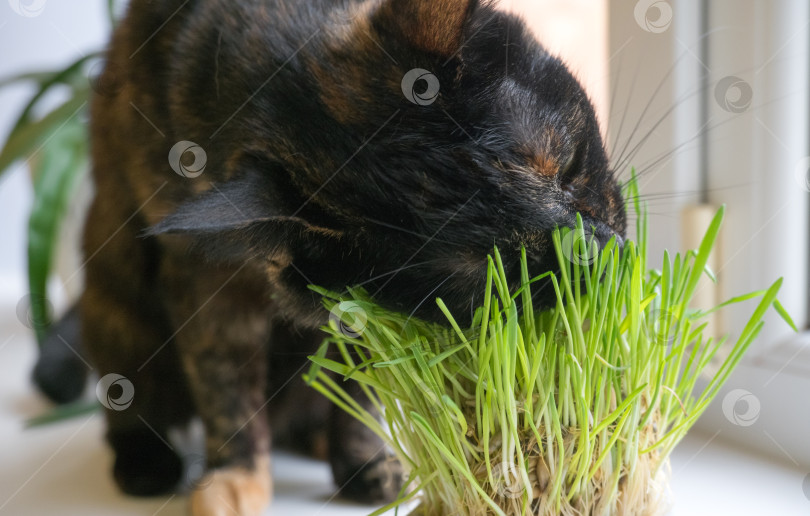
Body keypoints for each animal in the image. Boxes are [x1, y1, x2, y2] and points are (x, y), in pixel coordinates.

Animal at [33, 0, 624, 512]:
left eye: (569, 163)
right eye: (491, 277)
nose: (599, 255)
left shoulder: (359, 316)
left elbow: (360, 389)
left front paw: (363, 462)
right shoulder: (207, 281)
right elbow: (224, 385)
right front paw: (236, 479)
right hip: (117, 305)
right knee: (131, 400)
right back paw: (146, 462)